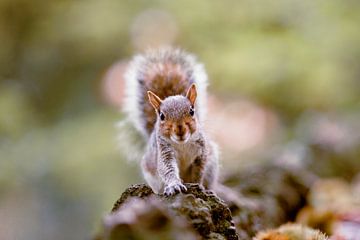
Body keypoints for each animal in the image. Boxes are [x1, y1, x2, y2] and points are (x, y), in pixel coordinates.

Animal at [124, 47, 218, 195]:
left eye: (192, 111)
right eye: (162, 116)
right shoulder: (164, 151)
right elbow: (167, 169)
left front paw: (198, 186)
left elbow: (198, 173)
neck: (182, 144)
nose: (180, 130)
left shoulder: (202, 153)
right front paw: (174, 185)